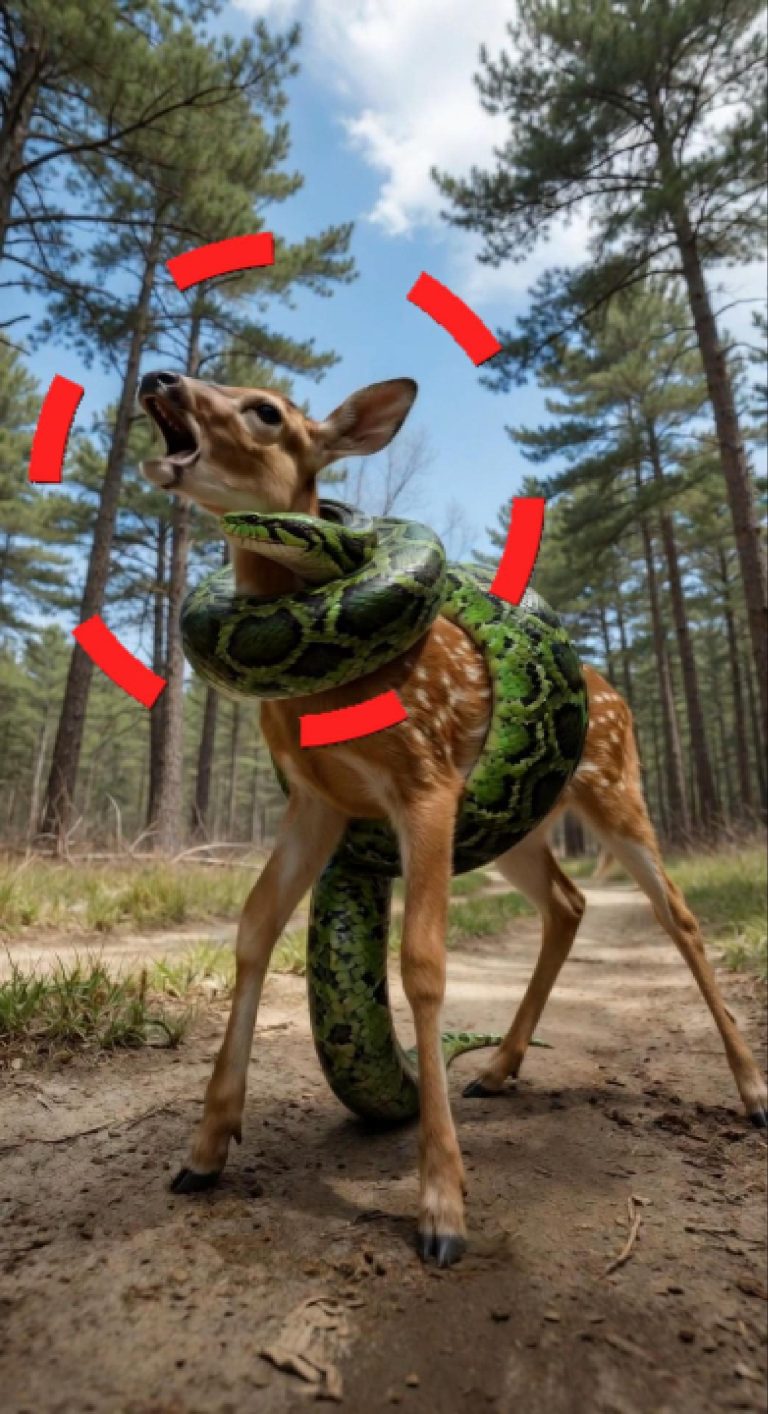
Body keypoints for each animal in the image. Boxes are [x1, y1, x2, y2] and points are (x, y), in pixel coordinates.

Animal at [139, 369, 767, 1267]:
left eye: (267, 412)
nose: (161, 377)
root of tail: (611, 693)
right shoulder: (316, 801)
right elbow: (255, 929)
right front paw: (206, 1145)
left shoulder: (425, 786)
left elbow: (424, 966)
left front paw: (442, 1203)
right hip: (515, 827)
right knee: (568, 902)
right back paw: (501, 1066)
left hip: (615, 792)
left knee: (676, 913)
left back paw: (751, 1089)